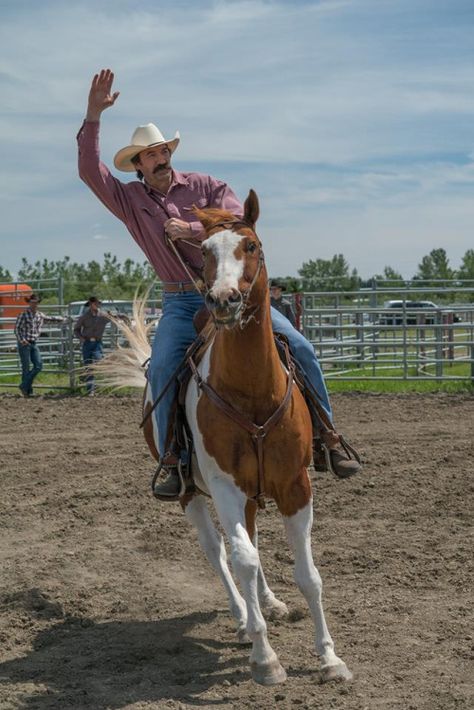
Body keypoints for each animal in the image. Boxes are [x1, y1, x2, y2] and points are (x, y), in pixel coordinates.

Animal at [96, 191, 350, 688]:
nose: (223, 300)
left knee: (249, 540)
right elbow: (242, 559)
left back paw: (268, 603)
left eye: (250, 245)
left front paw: (329, 658)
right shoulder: (225, 486)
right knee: (219, 551)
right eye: (205, 252)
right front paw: (265, 657)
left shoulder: (295, 485)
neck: (251, 389)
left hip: (252, 493)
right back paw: (243, 618)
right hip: (190, 492)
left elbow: (308, 573)